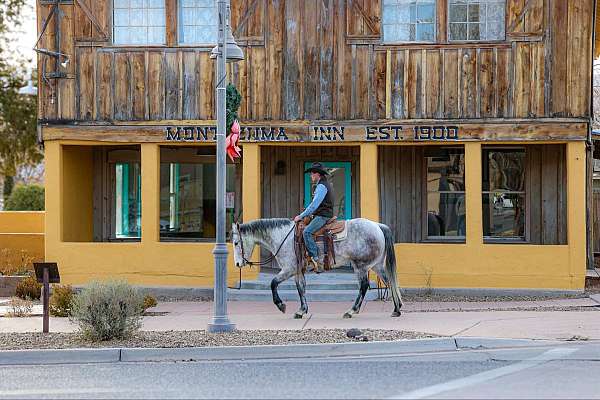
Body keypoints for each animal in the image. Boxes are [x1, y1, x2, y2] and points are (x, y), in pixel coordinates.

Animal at [231, 219, 404, 318]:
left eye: (236, 243)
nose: (238, 264)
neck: (283, 237)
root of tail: (377, 226)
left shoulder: (288, 269)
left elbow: (273, 283)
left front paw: (281, 305)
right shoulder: (297, 271)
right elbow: (301, 288)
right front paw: (302, 310)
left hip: (360, 266)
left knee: (364, 286)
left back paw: (351, 311)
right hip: (376, 265)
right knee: (390, 282)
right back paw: (397, 309)